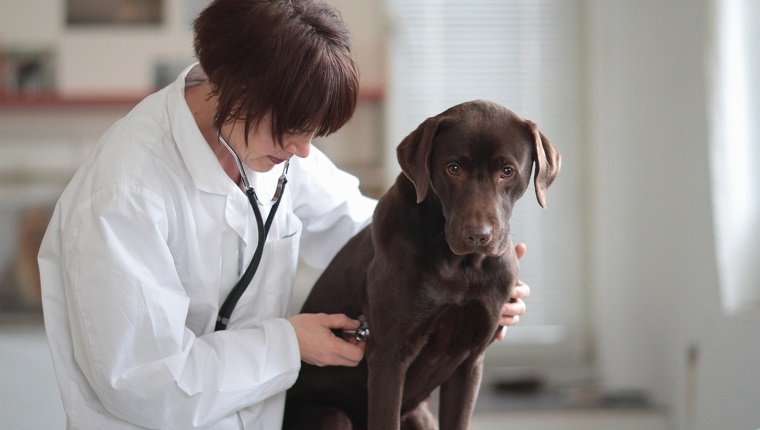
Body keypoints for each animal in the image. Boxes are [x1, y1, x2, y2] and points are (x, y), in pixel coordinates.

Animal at [284, 101, 560, 430]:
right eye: (453, 168)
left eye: (507, 171)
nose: (478, 236)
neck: (462, 266)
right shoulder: (389, 358)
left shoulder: (469, 363)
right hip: (332, 416)